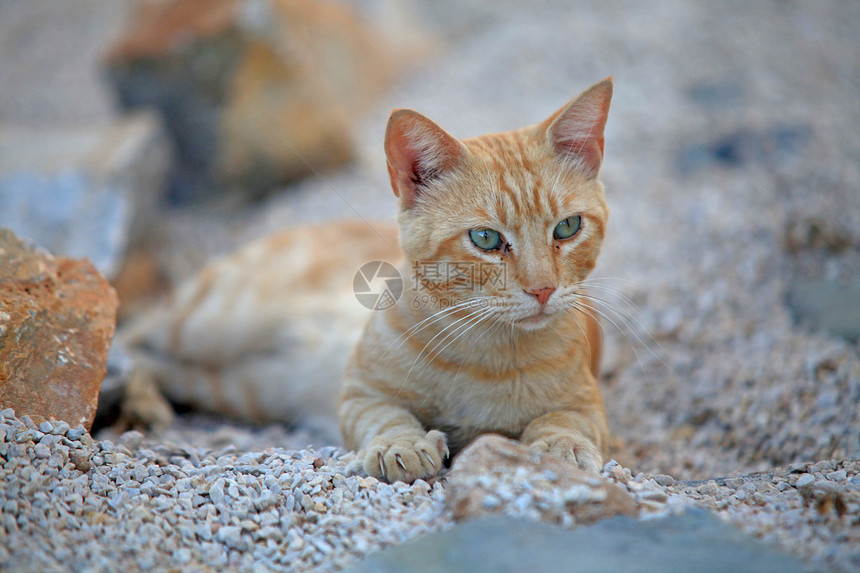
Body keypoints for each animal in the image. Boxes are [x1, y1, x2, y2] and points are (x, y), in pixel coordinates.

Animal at [336, 78, 612, 480]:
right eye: (485, 238)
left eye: (567, 227)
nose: (543, 289)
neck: (484, 354)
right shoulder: (360, 394)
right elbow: (384, 416)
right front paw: (400, 444)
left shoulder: (587, 402)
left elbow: (565, 419)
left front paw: (563, 446)